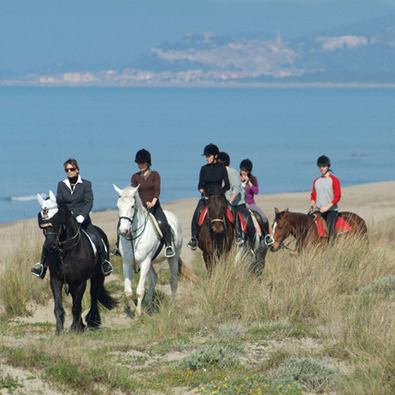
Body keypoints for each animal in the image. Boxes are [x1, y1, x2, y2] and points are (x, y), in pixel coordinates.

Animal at [39, 204, 118, 334]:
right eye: (43, 225)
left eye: (56, 221)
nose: (50, 245)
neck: (67, 251)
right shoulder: (56, 280)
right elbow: (59, 307)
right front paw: (59, 331)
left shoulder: (81, 282)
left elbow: (77, 306)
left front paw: (76, 328)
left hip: (98, 275)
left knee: (94, 294)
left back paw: (93, 321)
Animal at [114, 184, 201, 318]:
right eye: (118, 206)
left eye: (132, 206)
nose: (123, 231)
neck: (134, 238)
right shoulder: (127, 263)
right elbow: (128, 291)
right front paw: (134, 310)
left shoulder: (144, 262)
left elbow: (139, 291)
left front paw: (138, 314)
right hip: (150, 262)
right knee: (154, 278)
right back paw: (148, 304)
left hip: (172, 258)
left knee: (173, 281)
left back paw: (171, 306)